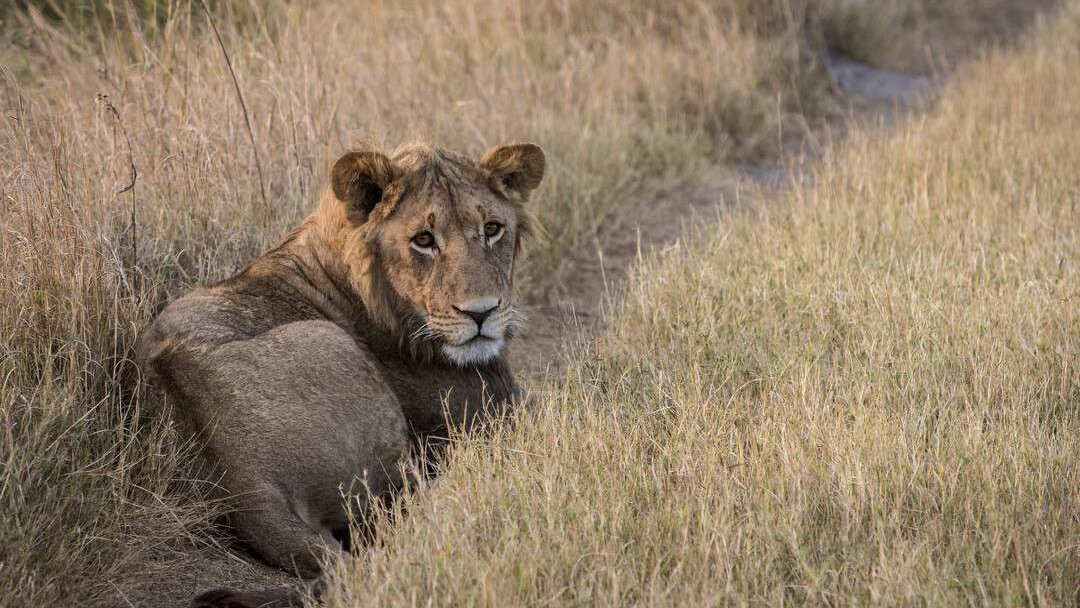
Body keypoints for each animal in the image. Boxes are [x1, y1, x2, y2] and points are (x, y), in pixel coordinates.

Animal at [136, 142, 545, 605]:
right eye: (423, 240)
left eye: (492, 229)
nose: (482, 313)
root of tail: (246, 485)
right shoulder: (492, 412)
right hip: (333, 348)